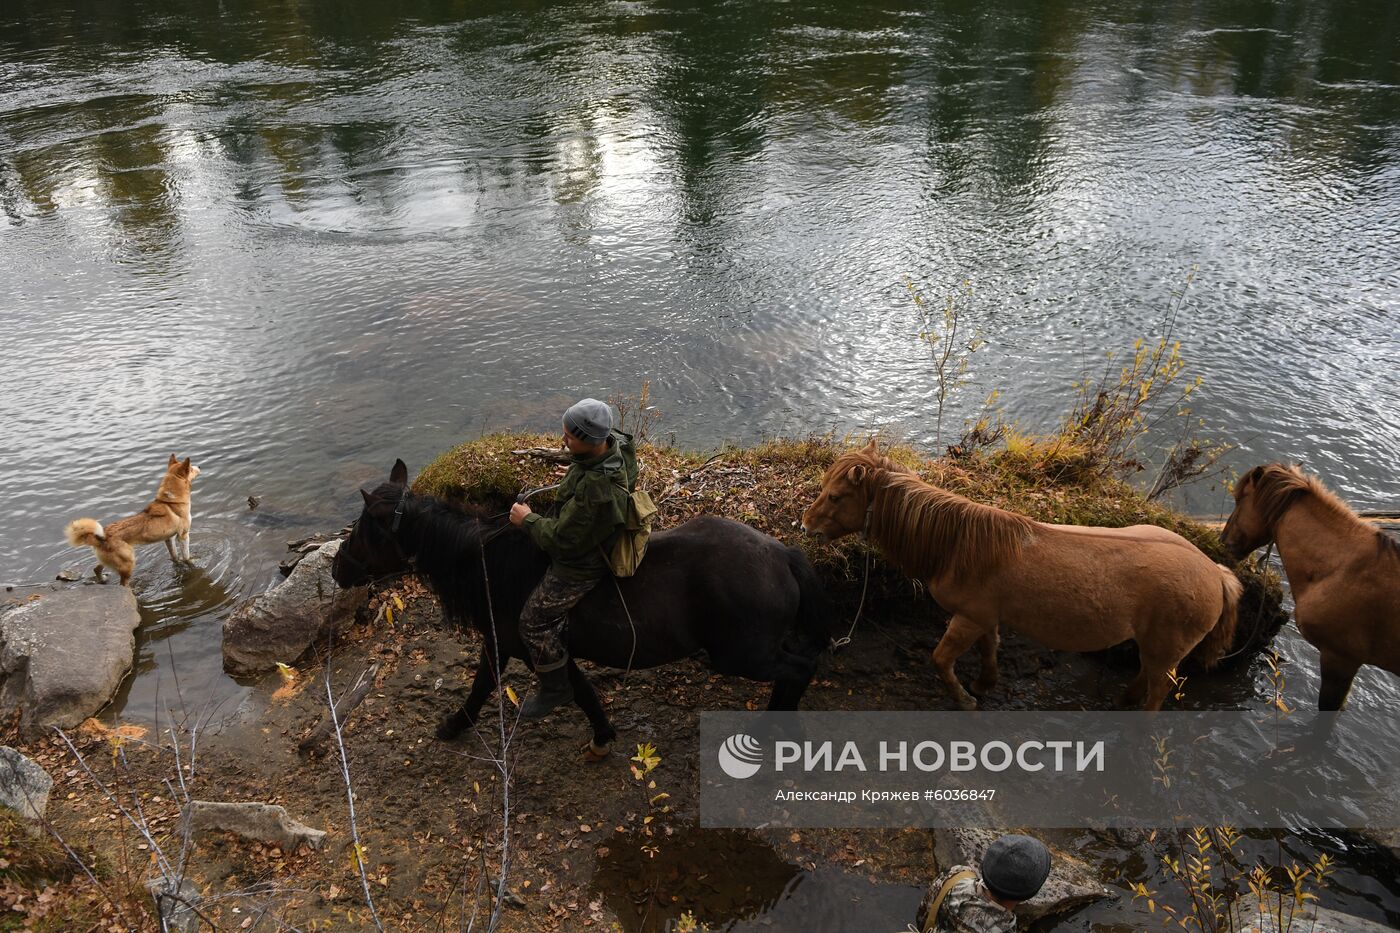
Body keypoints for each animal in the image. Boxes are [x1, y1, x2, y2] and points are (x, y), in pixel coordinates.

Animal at [64, 451, 200, 582]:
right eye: (191, 469)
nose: (199, 466)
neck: (171, 501)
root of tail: (100, 537)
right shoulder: (183, 536)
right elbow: (186, 556)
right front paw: (192, 563)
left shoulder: (169, 538)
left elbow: (174, 556)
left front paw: (179, 565)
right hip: (128, 562)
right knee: (123, 583)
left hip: (108, 560)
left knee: (96, 569)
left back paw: (102, 579)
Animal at [327, 456, 828, 756]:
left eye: (363, 529)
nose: (336, 569)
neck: (491, 566)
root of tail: (783, 553)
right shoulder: (542, 648)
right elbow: (583, 692)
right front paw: (603, 735)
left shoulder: (516, 644)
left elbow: (483, 687)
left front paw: (453, 725)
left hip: (740, 654)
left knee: (800, 668)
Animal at [806, 439, 1243, 708]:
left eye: (836, 496)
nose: (805, 525)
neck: (958, 546)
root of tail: (1215, 572)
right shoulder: (984, 618)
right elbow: (990, 650)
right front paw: (984, 684)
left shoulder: (968, 618)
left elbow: (941, 660)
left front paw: (965, 699)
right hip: (1153, 647)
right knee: (1145, 676)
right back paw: (1122, 701)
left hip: (1166, 649)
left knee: (1158, 689)